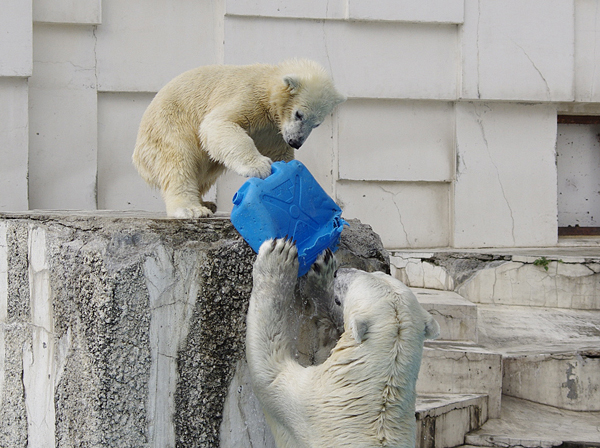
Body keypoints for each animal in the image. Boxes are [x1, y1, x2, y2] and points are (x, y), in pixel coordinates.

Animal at [133, 60, 344, 219]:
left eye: (316, 124)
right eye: (299, 115)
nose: (296, 142)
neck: (268, 83)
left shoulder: (274, 132)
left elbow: (280, 155)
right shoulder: (249, 97)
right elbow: (218, 124)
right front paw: (259, 167)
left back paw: (206, 203)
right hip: (169, 126)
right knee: (178, 161)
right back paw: (192, 209)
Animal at [248, 240, 440, 448]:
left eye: (352, 284)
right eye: (378, 273)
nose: (340, 272)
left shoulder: (310, 406)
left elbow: (269, 370)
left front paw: (278, 257)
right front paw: (322, 271)